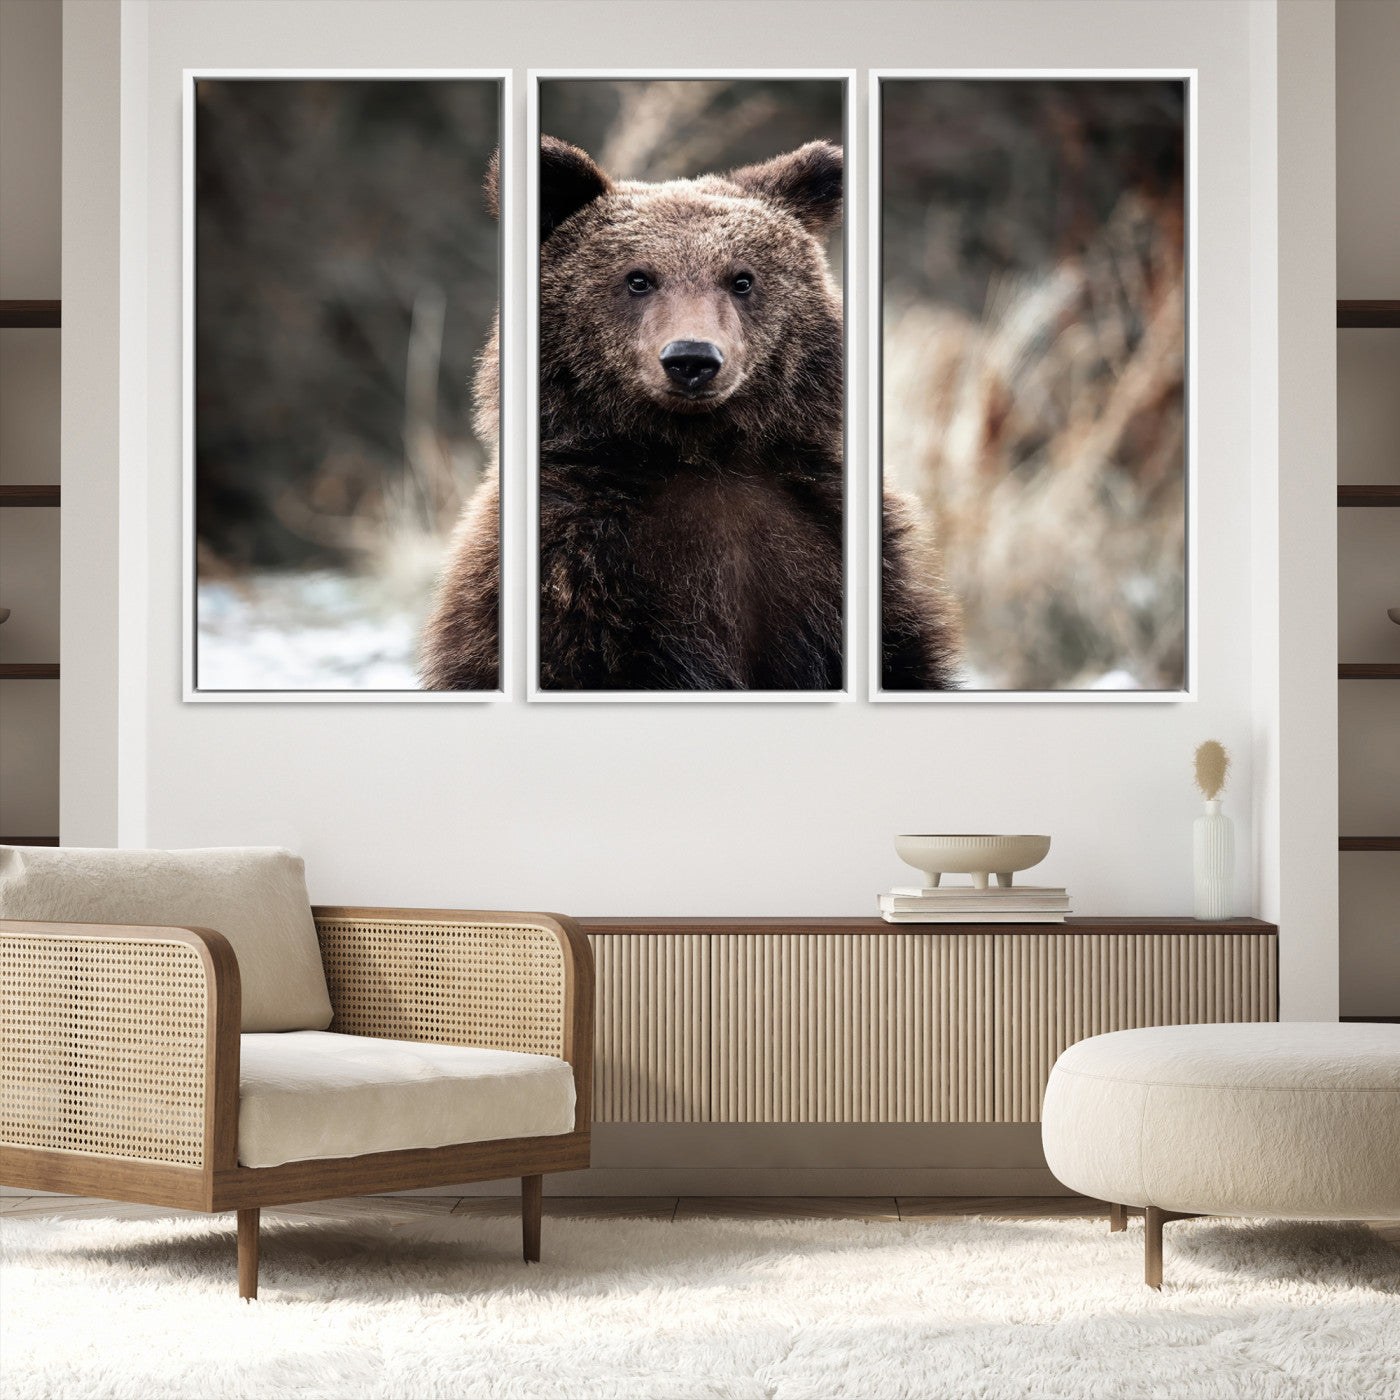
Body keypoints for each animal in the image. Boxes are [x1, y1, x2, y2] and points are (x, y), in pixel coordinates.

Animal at [419, 136, 959, 692]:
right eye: (638, 278)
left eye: (741, 279)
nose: (692, 358)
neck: (699, 450)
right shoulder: (576, 569)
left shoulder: (828, 546)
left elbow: (902, 656)